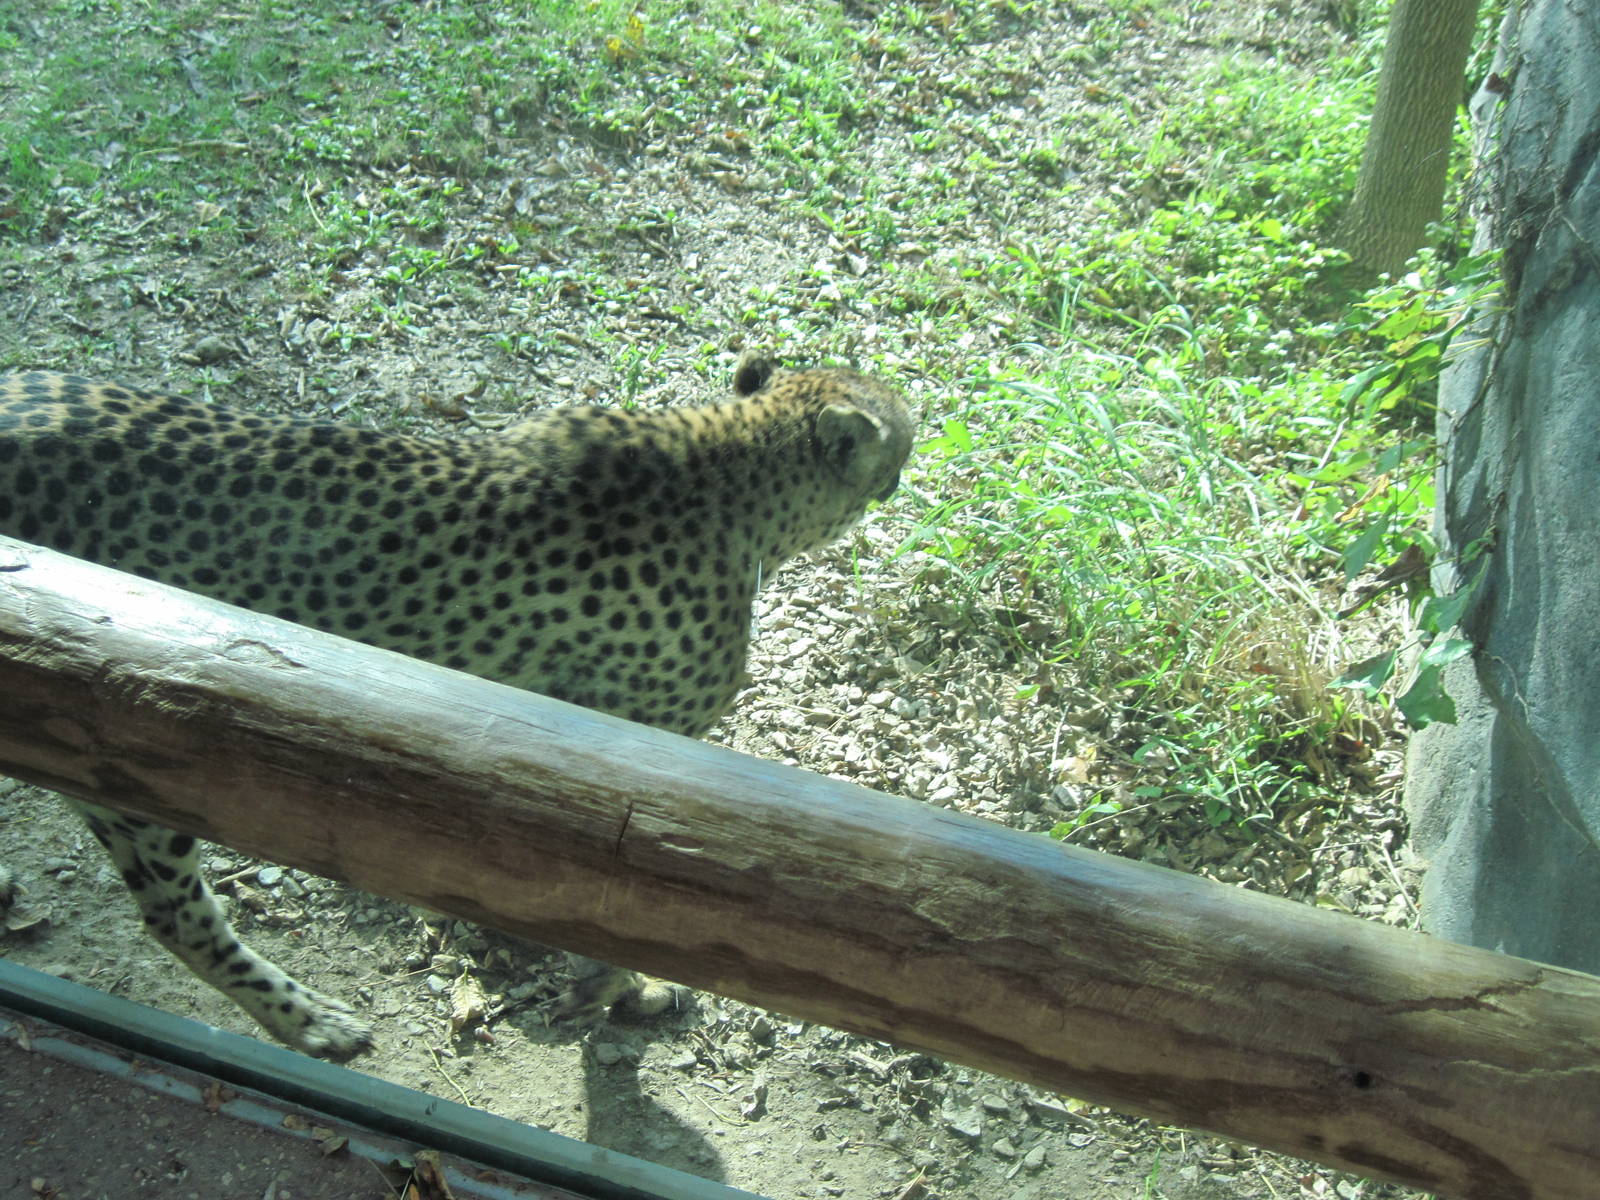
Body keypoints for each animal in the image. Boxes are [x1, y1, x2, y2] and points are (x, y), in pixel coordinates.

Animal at [0, 355, 913, 1059]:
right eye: (900, 429)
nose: (912, 442)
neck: (731, 464)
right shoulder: (634, 762)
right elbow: (614, 915)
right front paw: (622, 991)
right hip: (129, 744)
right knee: (174, 913)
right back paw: (310, 1022)